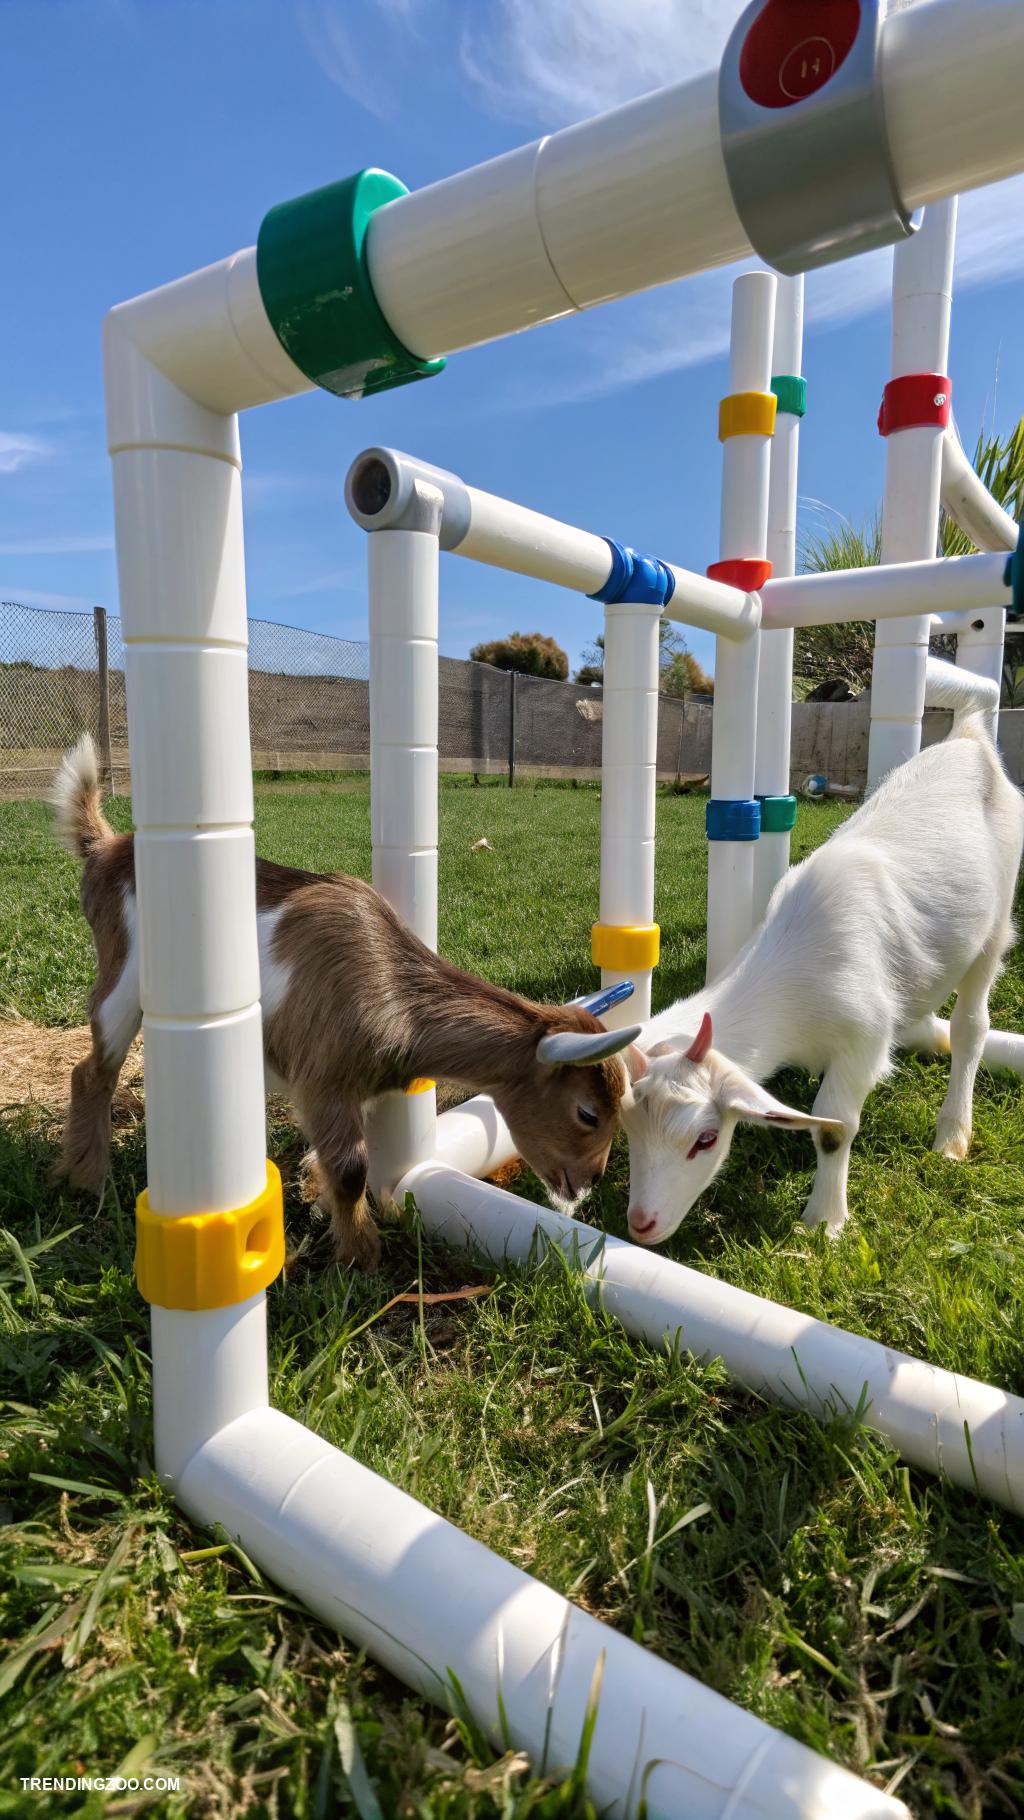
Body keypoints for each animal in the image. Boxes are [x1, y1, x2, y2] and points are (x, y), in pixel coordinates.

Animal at [52, 736, 640, 1270]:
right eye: (588, 1112)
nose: (589, 1182)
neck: (393, 991)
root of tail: (105, 848)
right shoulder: (324, 1075)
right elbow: (353, 1168)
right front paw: (361, 1257)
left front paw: (322, 1208)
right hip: (123, 977)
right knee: (91, 1071)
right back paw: (87, 1181)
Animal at [621, 661, 1023, 1246]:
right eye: (626, 1126)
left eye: (705, 1138)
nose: (641, 1225)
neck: (789, 981)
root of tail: (970, 737)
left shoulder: (862, 1040)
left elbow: (835, 1127)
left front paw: (824, 1222)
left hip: (996, 924)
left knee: (974, 1025)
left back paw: (952, 1136)